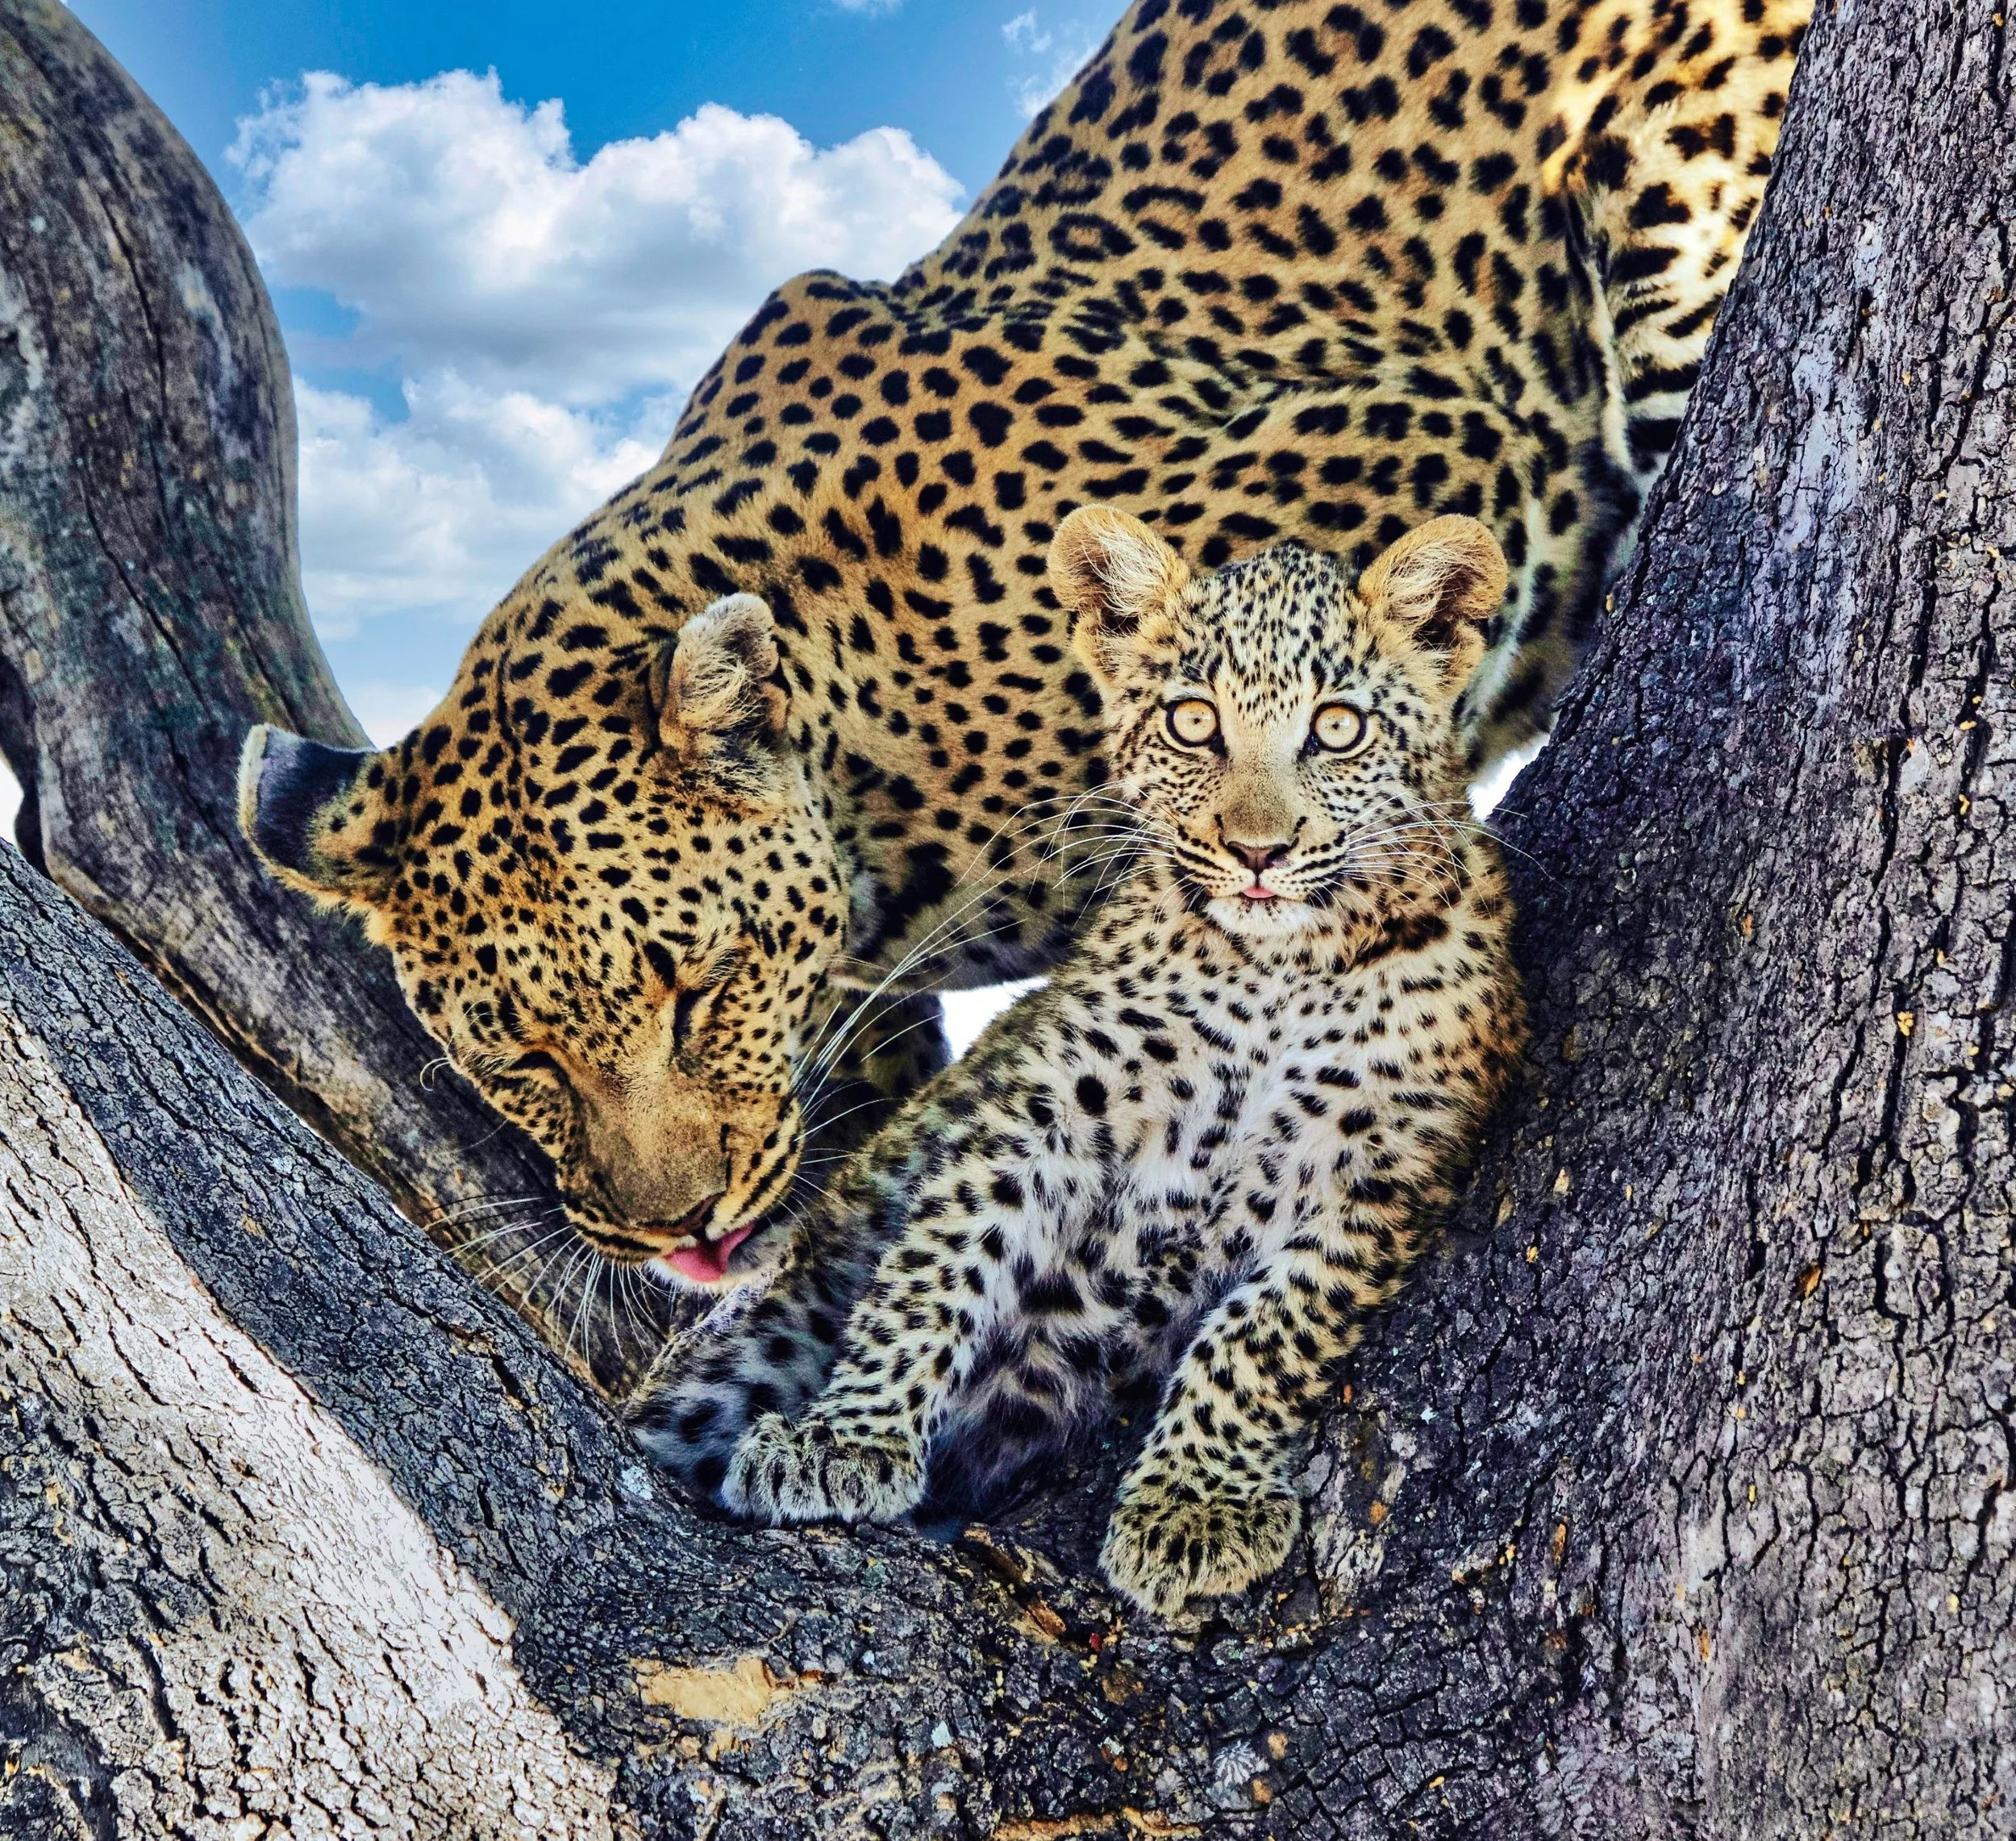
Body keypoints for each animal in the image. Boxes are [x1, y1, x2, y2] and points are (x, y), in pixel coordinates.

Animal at [632, 505, 1525, 1616]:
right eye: (1193, 722)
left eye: (1336, 728)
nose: (1257, 852)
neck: (1278, 971)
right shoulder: (1041, 1113)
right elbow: (934, 1272)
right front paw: (846, 1438)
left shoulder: (1381, 1171)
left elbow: (1266, 1336)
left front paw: (1193, 1507)